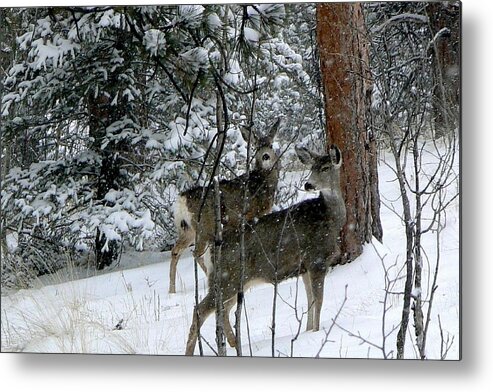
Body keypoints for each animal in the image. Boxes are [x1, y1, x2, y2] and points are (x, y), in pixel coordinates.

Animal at [168, 119, 280, 294]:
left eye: (270, 145)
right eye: (256, 147)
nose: (265, 156)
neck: (261, 183)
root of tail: (181, 200)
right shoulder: (253, 215)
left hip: (187, 229)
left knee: (175, 251)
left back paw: (172, 290)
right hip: (204, 226)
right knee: (196, 253)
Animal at [184, 144, 346, 356]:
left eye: (326, 168)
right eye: (312, 168)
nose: (308, 184)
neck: (329, 219)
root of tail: (213, 248)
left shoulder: (304, 268)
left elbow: (310, 300)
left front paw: (308, 330)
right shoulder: (317, 259)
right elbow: (318, 301)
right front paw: (317, 333)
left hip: (236, 282)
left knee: (221, 310)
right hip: (226, 279)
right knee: (200, 310)